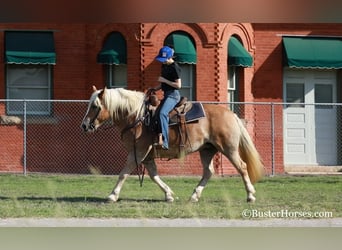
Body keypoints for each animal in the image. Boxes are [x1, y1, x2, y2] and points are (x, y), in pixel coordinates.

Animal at [81, 86, 264, 203]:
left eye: (95, 106)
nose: (84, 125)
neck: (136, 117)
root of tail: (231, 113)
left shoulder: (138, 152)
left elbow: (124, 173)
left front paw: (112, 195)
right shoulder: (147, 155)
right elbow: (154, 175)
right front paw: (168, 194)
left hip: (228, 148)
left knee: (242, 167)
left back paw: (250, 195)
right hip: (207, 150)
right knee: (208, 172)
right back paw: (194, 196)